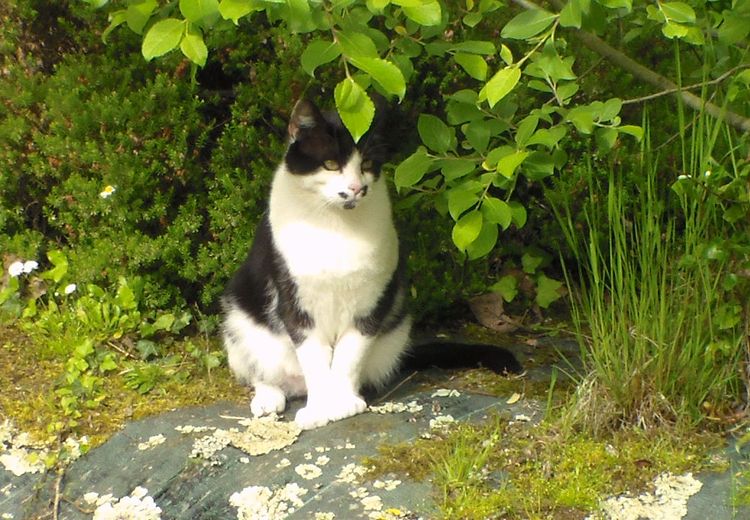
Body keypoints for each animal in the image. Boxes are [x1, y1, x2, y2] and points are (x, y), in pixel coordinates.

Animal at [220, 98, 520, 430]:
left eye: (365, 165)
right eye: (330, 164)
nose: (355, 188)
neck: (335, 226)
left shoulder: (374, 301)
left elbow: (349, 356)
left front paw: (343, 404)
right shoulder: (295, 303)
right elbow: (314, 360)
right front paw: (318, 410)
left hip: (395, 330)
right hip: (237, 319)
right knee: (262, 372)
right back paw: (268, 399)